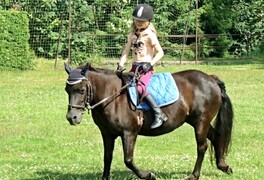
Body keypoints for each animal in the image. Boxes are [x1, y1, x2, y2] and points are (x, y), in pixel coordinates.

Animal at [65, 62, 234, 179]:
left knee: (202, 147)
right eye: (67, 90)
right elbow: (107, 158)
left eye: (81, 90)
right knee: (216, 137)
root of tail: (211, 79)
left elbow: (128, 160)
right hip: (196, 121)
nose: (72, 117)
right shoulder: (107, 134)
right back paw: (223, 166)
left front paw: (148, 175)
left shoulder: (129, 133)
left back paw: (194, 175)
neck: (112, 96)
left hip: (201, 122)